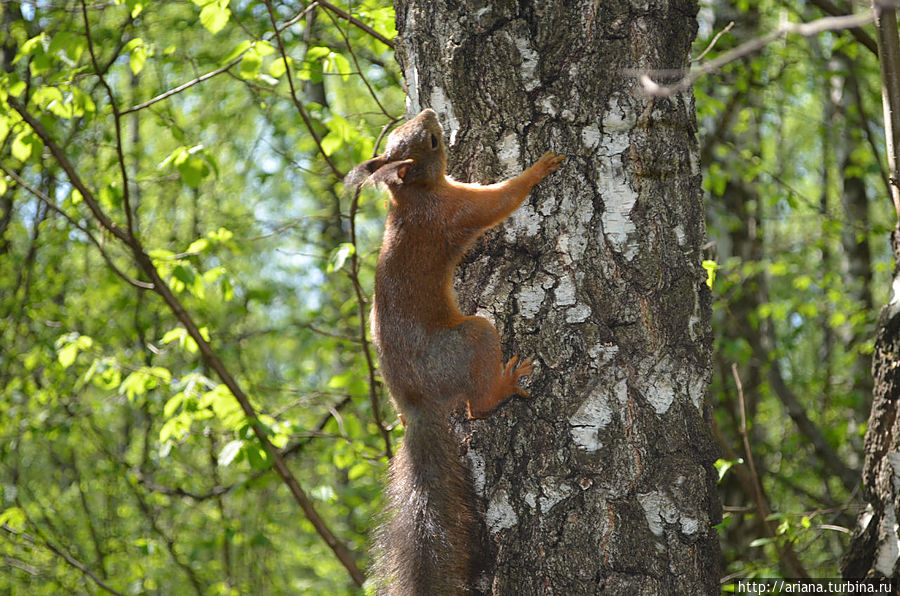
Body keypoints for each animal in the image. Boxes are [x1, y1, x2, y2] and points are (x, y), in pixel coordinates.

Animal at [350, 109, 568, 592]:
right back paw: (507, 383)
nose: (431, 112)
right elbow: (499, 200)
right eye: (431, 142)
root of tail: (418, 405)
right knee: (477, 404)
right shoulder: (454, 211)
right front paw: (539, 168)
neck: (411, 197)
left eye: (410, 127)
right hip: (472, 339)